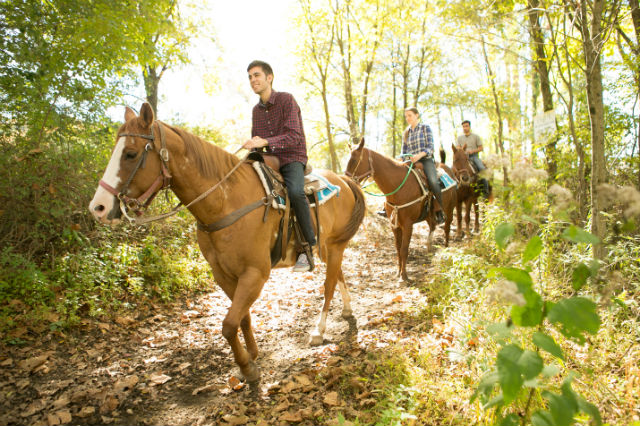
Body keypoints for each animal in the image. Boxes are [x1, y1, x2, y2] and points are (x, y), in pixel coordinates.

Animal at [89, 104, 364, 382]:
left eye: (131, 154)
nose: (98, 208)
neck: (225, 201)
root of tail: (343, 181)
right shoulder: (223, 274)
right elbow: (242, 318)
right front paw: (252, 355)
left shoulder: (255, 273)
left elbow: (229, 324)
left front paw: (247, 368)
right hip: (325, 247)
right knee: (337, 275)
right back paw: (347, 310)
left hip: (335, 245)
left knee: (329, 285)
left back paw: (319, 330)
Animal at [344, 138, 456, 282]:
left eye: (354, 160)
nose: (346, 181)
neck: (399, 186)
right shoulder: (394, 224)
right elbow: (398, 248)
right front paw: (398, 273)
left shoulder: (408, 224)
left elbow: (404, 249)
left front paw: (404, 277)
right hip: (428, 215)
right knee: (433, 226)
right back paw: (429, 248)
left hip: (450, 208)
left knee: (447, 227)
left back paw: (446, 250)